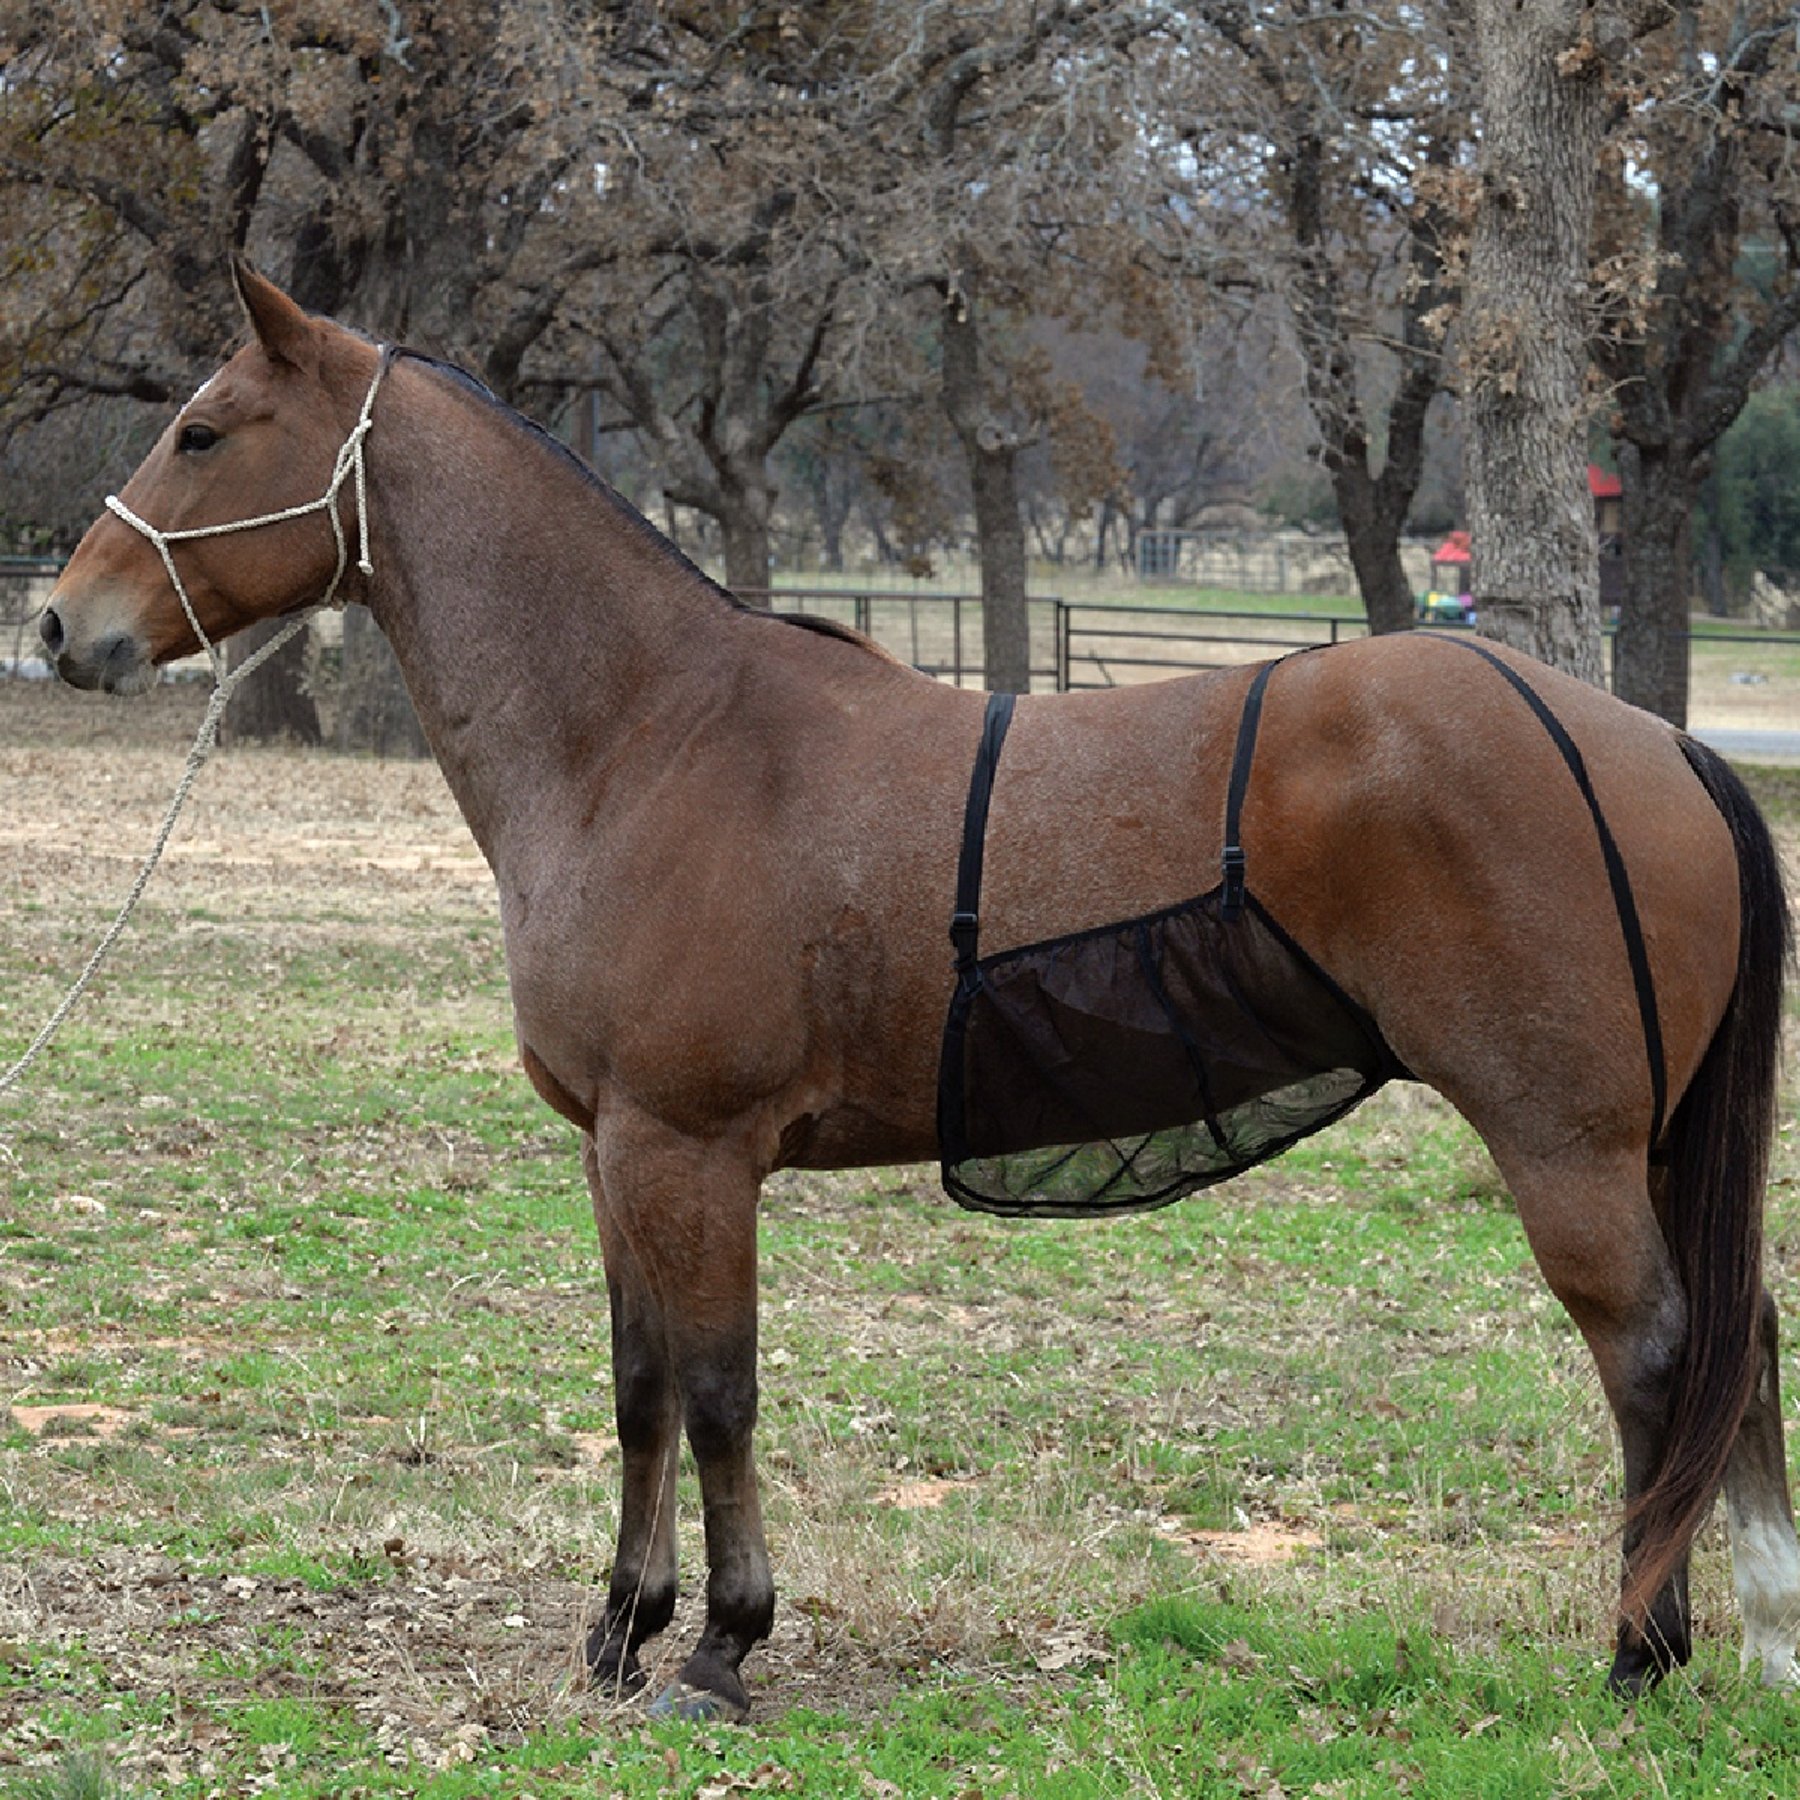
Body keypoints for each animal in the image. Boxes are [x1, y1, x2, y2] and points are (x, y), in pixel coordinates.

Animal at [37, 261, 1798, 1720]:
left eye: (202, 432)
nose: (60, 623)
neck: (648, 735)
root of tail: (1663, 745)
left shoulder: (690, 1149)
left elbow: (720, 1393)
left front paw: (722, 1646)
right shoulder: (616, 1150)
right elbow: (639, 1389)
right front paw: (620, 1629)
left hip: (1562, 1145)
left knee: (1655, 1357)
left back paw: (1643, 1655)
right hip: (1644, 1147)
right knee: (1741, 1342)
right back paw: (1764, 1639)